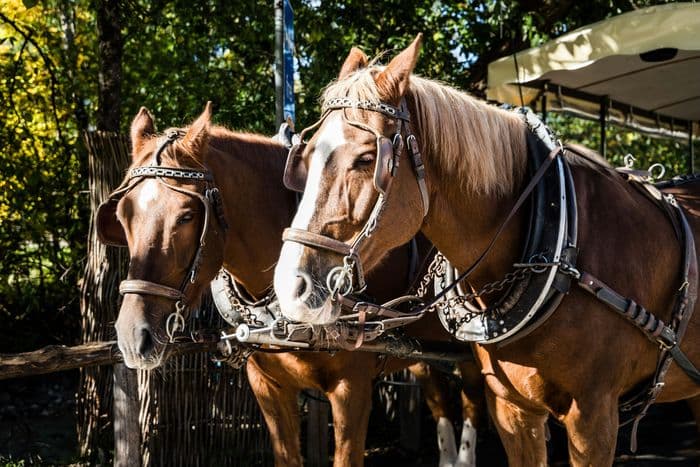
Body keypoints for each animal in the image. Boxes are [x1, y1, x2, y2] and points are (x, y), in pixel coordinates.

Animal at [96, 104, 485, 466]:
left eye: (188, 216)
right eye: (123, 215)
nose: (133, 336)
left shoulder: (352, 387)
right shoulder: (268, 386)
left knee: (472, 397)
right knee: (438, 394)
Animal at [272, 34, 700, 466]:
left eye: (366, 158)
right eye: (305, 156)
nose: (292, 286)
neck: (559, 252)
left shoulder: (594, 417)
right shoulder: (513, 410)